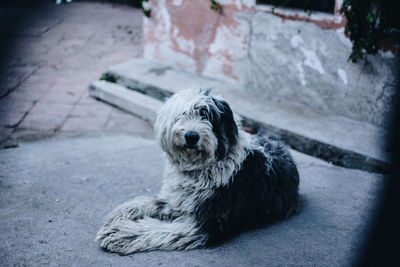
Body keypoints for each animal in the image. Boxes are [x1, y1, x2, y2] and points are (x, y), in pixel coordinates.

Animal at [95, 88, 298, 255]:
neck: (201, 168)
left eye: (207, 116)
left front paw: (120, 233)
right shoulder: (180, 199)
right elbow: (149, 202)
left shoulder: (207, 223)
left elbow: (157, 229)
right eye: (182, 115)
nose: (191, 136)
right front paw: (120, 213)